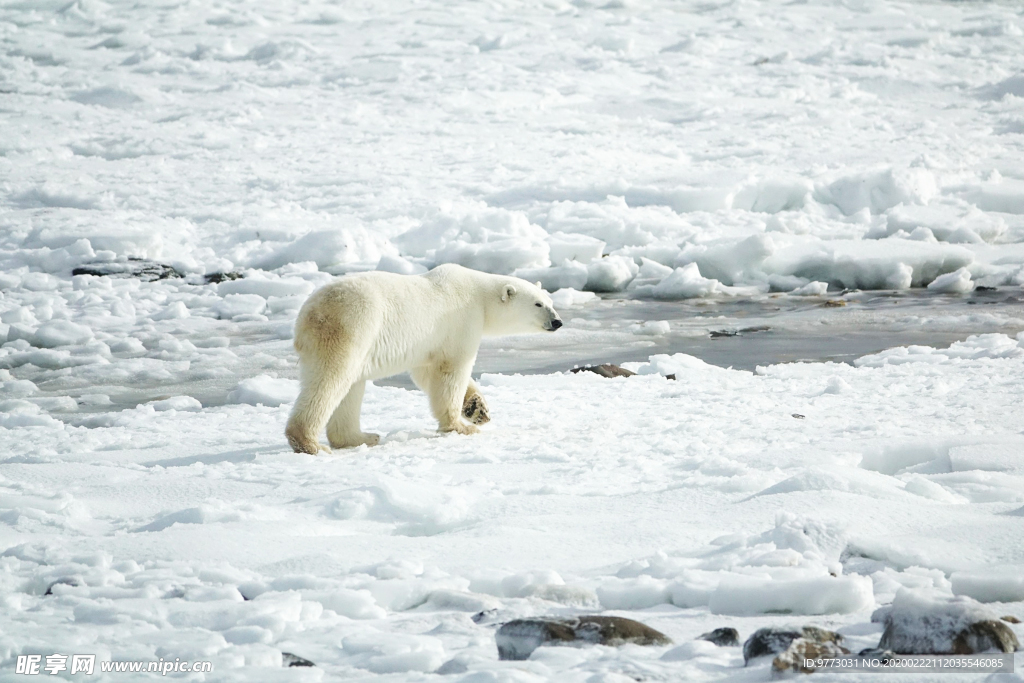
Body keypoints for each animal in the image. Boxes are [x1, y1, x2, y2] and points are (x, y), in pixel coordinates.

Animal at [284, 264, 565, 454]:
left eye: (550, 301)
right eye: (538, 304)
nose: (557, 322)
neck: (479, 295)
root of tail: (307, 315)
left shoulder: (429, 344)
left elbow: (427, 373)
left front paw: (478, 410)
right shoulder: (460, 321)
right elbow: (451, 371)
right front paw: (461, 426)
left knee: (351, 386)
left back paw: (362, 437)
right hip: (351, 326)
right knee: (332, 380)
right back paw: (310, 443)